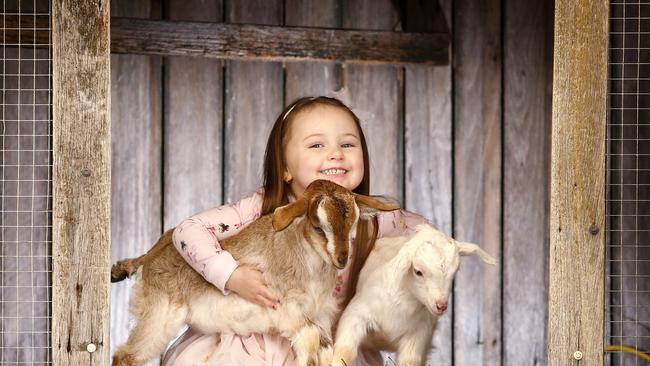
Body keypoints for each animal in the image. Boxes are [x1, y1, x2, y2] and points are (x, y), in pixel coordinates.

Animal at [332, 223, 494, 366]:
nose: (441, 305)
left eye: (455, 272)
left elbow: (410, 361)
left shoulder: (417, 336)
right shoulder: (355, 315)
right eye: (418, 271)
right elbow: (344, 352)